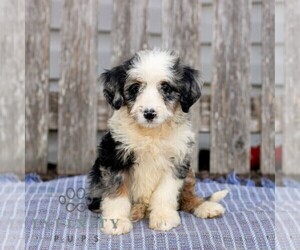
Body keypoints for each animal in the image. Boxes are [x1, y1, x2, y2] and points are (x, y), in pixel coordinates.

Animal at [86, 49, 227, 235]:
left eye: (166, 87)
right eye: (135, 88)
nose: (149, 113)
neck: (151, 133)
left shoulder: (176, 162)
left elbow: (165, 193)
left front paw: (163, 217)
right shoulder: (115, 158)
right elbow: (116, 192)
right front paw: (116, 221)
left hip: (189, 173)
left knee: (188, 197)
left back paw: (205, 206)